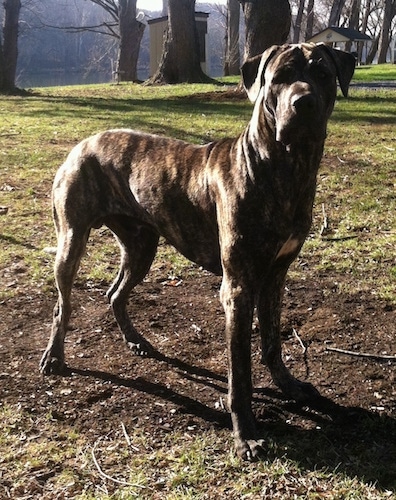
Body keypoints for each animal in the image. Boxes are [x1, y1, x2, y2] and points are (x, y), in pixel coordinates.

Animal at [40, 44, 356, 460]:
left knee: (115, 292)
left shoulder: (275, 276)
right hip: (72, 239)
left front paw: (289, 386)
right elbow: (240, 373)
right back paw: (54, 357)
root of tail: (84, 141)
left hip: (142, 245)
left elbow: (272, 342)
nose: (303, 102)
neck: (286, 169)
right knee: (62, 304)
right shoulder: (238, 287)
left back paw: (136, 341)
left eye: (322, 74)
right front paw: (245, 434)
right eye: (281, 78)